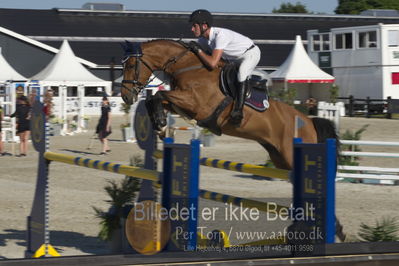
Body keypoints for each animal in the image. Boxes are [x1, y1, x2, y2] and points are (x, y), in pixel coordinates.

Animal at [120, 39, 340, 170]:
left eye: (130, 65)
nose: (125, 97)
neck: (188, 67)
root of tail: (309, 122)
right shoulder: (180, 103)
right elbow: (155, 98)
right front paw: (160, 126)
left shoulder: (197, 105)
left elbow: (158, 95)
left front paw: (159, 124)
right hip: (280, 158)